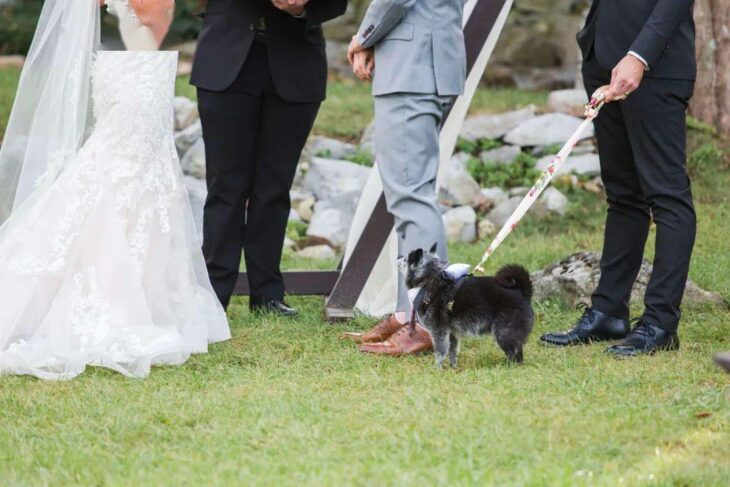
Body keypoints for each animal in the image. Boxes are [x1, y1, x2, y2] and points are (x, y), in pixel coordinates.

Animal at [400, 246, 532, 368]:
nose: (398, 257)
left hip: (504, 333)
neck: (428, 281)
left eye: (405, 259)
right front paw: (453, 368)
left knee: (515, 353)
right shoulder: (452, 333)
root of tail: (522, 291)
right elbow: (452, 352)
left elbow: (440, 352)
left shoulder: (439, 332)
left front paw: (437, 368)